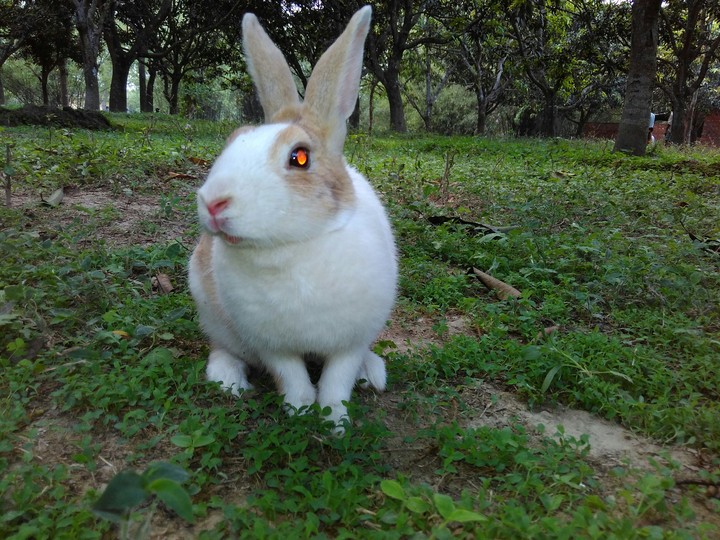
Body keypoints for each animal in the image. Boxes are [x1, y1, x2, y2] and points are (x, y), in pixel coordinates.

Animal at [188, 5, 397, 431]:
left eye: (299, 157)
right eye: (233, 139)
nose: (214, 203)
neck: (291, 246)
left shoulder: (350, 341)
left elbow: (336, 380)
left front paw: (334, 422)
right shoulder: (272, 344)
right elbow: (293, 378)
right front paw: (300, 411)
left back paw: (373, 373)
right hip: (214, 316)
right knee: (223, 348)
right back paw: (228, 380)